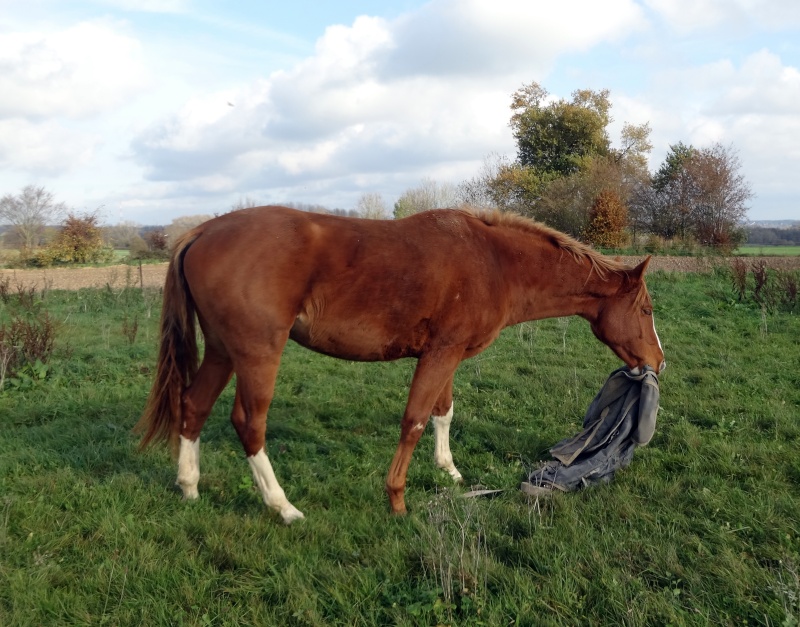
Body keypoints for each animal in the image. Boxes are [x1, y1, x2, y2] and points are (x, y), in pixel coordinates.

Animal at [134, 206, 664, 524]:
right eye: (646, 309)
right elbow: (413, 421)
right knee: (249, 423)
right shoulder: (440, 354)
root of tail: (203, 229)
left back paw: (189, 488)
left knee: (193, 407)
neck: (494, 261)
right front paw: (397, 497)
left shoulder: (449, 355)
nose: (658, 361)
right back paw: (283, 507)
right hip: (257, 354)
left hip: (223, 350)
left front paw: (450, 473)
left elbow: (442, 414)